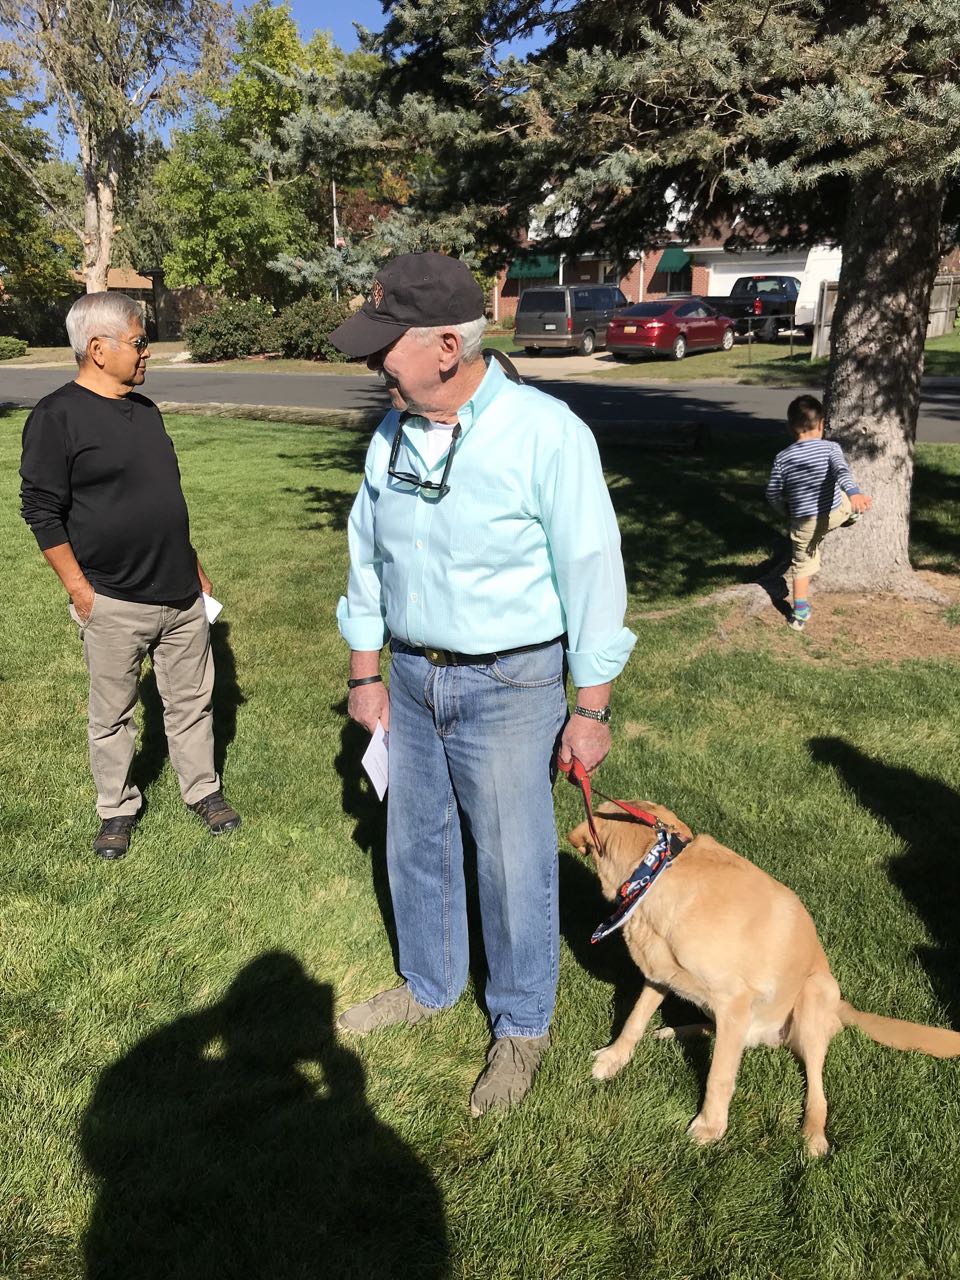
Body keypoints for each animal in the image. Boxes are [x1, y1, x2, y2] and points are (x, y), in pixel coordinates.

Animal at [570, 798, 960, 1152]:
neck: (657, 871)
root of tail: (842, 1009)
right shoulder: (660, 976)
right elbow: (633, 1021)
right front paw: (613, 1059)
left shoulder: (734, 1001)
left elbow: (719, 1074)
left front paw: (710, 1127)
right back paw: (672, 1031)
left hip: (815, 992)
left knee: (816, 1092)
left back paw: (813, 1137)